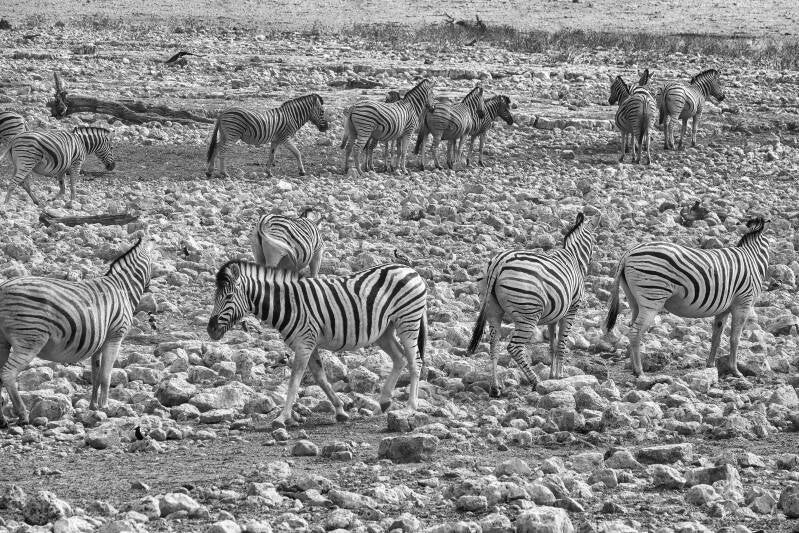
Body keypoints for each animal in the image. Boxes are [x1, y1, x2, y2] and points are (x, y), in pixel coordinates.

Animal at [0, 237, 152, 427]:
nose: (150, 288)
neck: (122, 287)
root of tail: (3, 287)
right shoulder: (115, 337)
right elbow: (106, 375)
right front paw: (106, 407)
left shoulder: (99, 343)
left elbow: (96, 375)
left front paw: (94, 406)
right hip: (30, 338)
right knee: (8, 374)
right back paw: (22, 415)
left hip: (3, 341)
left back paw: (2, 419)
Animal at [207, 261, 428, 428]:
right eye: (215, 297)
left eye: (228, 297)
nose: (210, 329)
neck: (288, 303)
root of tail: (410, 269)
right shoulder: (308, 342)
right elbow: (321, 378)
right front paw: (340, 411)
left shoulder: (304, 342)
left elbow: (295, 379)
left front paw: (282, 417)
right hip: (385, 330)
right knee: (400, 359)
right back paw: (382, 404)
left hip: (408, 321)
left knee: (414, 362)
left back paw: (410, 407)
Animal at [466, 212, 597, 396]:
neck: (573, 257)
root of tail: (499, 262)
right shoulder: (572, 309)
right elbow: (562, 344)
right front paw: (560, 376)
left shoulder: (554, 316)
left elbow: (552, 345)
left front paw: (552, 375)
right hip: (528, 313)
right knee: (514, 347)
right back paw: (535, 381)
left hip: (493, 309)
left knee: (494, 346)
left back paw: (495, 387)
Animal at [604, 218, 769, 379]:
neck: (752, 258)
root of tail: (629, 253)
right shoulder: (743, 303)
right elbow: (735, 339)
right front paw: (735, 371)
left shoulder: (724, 308)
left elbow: (717, 336)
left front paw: (710, 365)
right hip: (652, 298)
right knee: (635, 333)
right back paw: (639, 371)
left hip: (634, 301)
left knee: (632, 328)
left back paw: (633, 368)